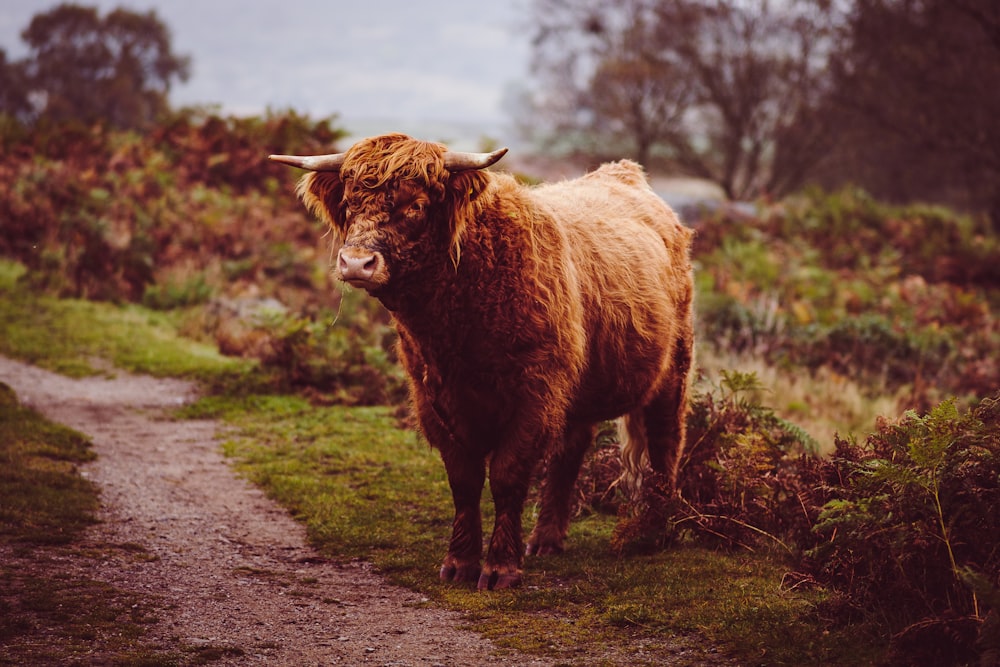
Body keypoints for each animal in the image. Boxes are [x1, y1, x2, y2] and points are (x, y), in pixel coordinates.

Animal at [274, 134, 696, 588]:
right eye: (349, 203)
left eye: (415, 206)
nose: (356, 263)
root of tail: (625, 173)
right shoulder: (433, 396)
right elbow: (464, 478)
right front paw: (460, 562)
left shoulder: (536, 393)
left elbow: (508, 475)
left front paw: (500, 569)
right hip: (578, 385)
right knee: (571, 451)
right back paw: (546, 539)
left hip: (673, 370)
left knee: (665, 442)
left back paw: (652, 533)